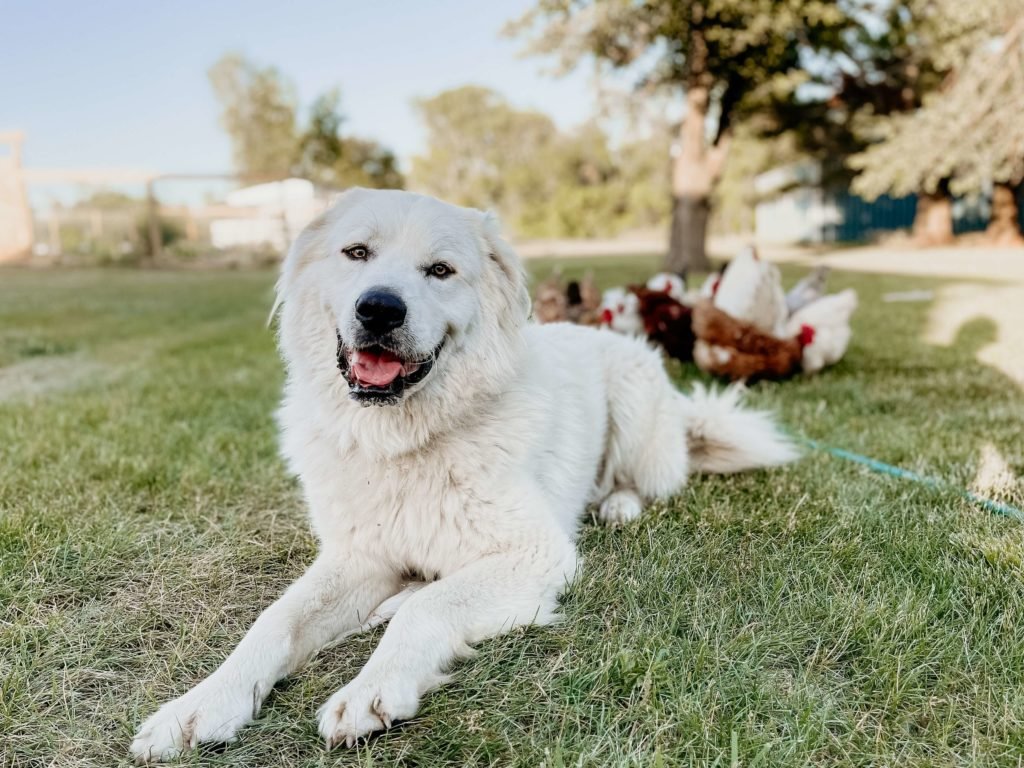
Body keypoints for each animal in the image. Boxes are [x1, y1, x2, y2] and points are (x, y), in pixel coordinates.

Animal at [130, 189, 798, 761]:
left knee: (638, 484)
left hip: (635, 408)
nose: (379, 309)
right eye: (357, 253)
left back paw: (616, 506)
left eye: (440, 271)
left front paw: (372, 688)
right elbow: (272, 623)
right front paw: (200, 705)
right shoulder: (356, 557)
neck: (406, 442)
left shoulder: (537, 551)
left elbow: (429, 608)